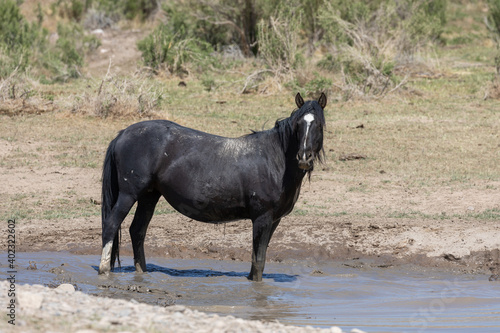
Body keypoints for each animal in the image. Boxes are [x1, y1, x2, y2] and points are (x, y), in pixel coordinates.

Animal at [98, 91, 328, 280]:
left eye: (319, 125)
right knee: (111, 225)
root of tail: (123, 133)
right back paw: (104, 271)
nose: (304, 157)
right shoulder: (262, 217)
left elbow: (257, 261)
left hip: (149, 195)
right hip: (129, 194)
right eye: (298, 125)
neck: (274, 160)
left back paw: (142, 273)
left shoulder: (274, 220)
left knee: (137, 231)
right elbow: (259, 262)